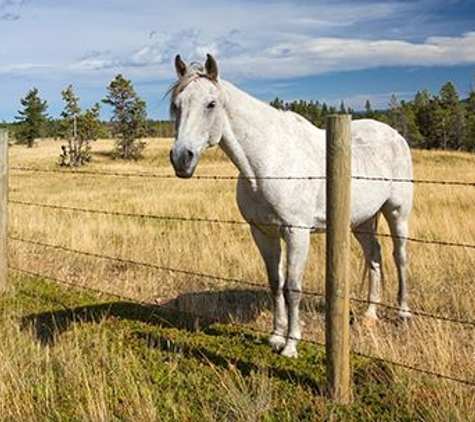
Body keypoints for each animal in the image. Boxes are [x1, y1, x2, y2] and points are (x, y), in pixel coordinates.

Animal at [168, 52, 412, 356]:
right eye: (176, 105)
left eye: (211, 104)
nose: (181, 158)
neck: (269, 161)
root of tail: (396, 135)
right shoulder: (263, 233)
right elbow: (276, 283)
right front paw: (275, 336)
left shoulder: (297, 233)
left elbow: (293, 287)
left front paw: (291, 344)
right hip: (362, 221)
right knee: (374, 256)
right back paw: (369, 315)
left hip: (397, 212)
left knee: (399, 257)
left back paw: (403, 314)